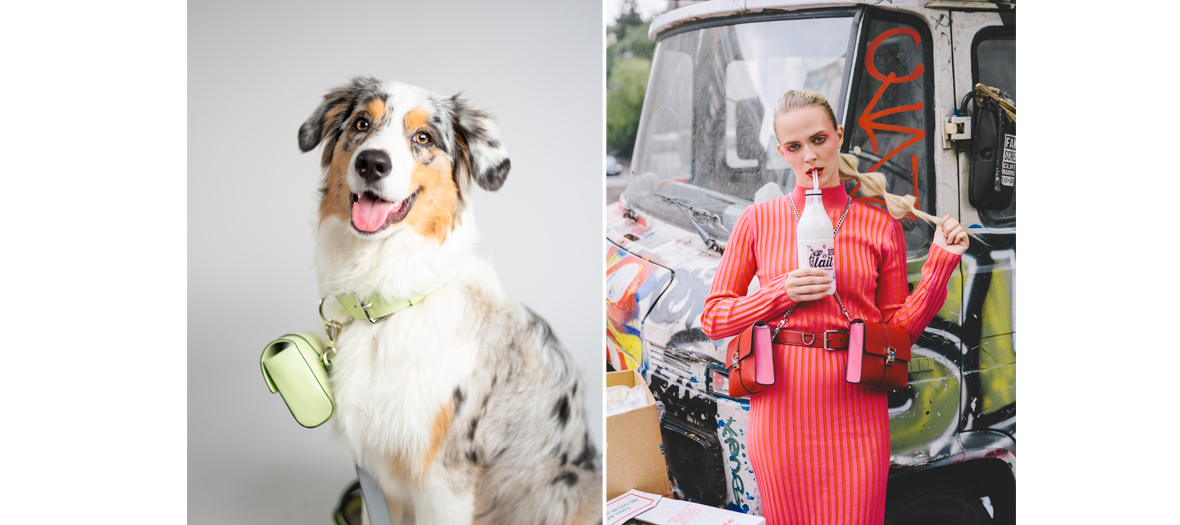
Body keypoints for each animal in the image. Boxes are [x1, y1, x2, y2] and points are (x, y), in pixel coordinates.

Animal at [299, 77, 599, 523]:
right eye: (361, 123)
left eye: (423, 137)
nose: (371, 163)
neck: (388, 303)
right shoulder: (377, 476)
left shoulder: (442, 481)